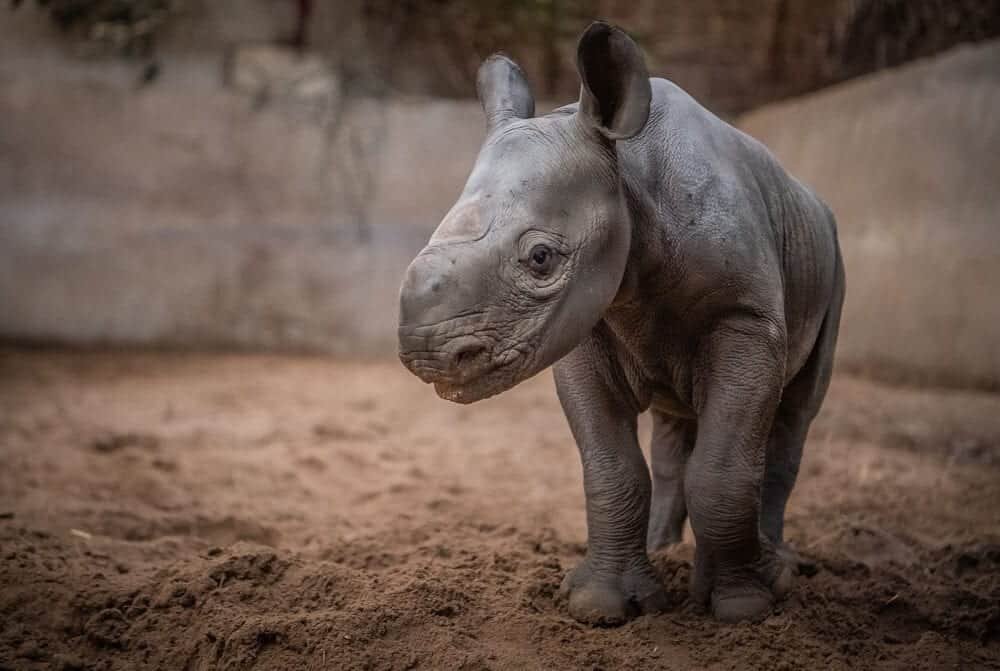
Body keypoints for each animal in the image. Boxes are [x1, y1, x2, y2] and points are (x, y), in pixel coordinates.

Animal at [396, 22, 844, 632]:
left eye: (541, 259)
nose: (426, 354)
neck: (629, 175)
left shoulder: (747, 319)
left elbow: (725, 467)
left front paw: (743, 606)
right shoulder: (584, 326)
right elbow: (612, 468)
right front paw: (604, 604)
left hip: (831, 259)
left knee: (795, 416)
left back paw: (778, 567)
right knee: (676, 424)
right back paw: (664, 550)